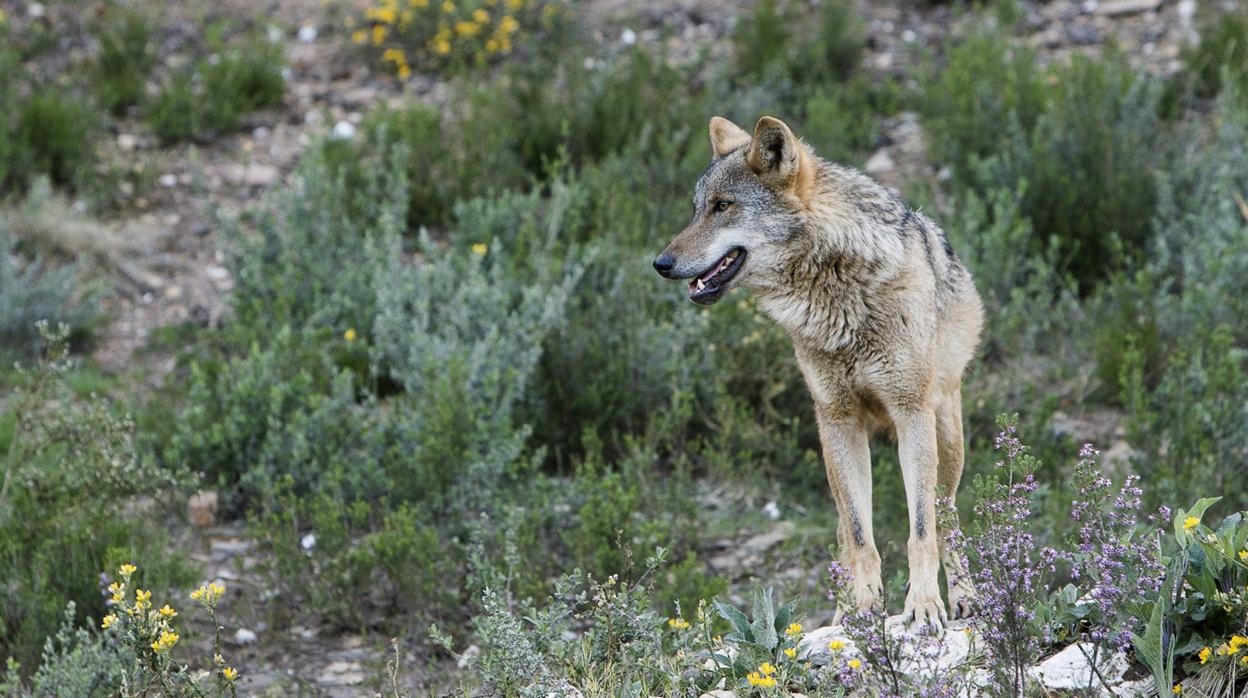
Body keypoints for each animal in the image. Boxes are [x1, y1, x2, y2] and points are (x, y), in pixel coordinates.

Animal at [653, 114, 983, 629]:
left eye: (723, 206)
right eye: (696, 209)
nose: (661, 263)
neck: (839, 293)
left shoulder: (910, 412)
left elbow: (920, 531)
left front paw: (925, 605)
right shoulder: (837, 419)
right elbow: (860, 536)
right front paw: (863, 610)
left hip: (945, 438)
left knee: (947, 520)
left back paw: (965, 599)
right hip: (834, 447)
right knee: (846, 532)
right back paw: (841, 612)